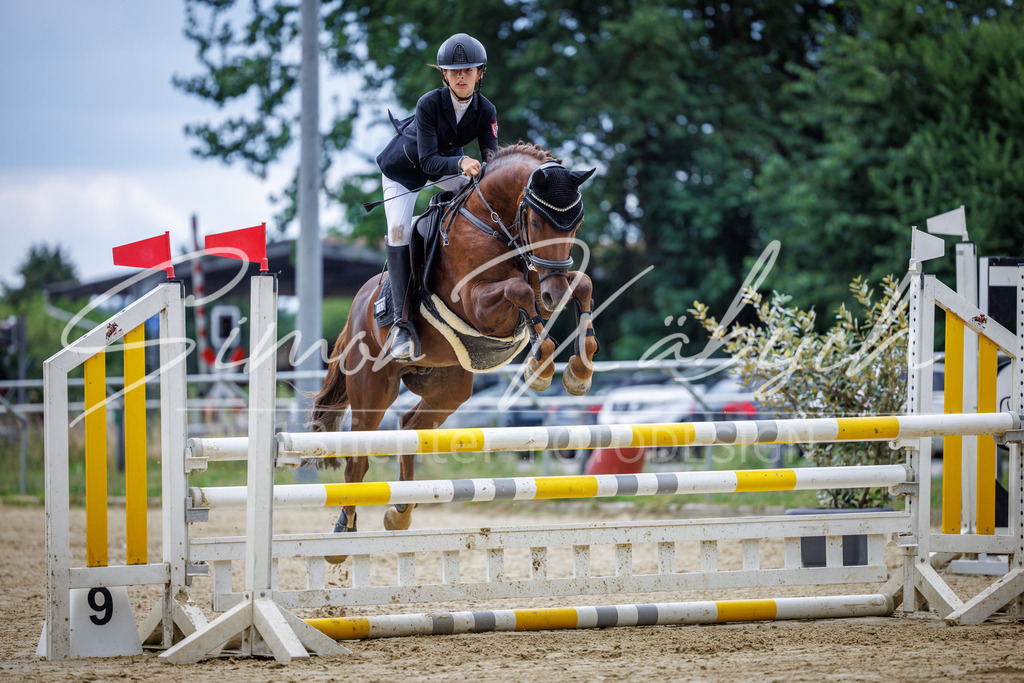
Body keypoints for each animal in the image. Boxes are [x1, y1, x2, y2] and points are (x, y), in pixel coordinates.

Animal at [309, 142, 598, 552]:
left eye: (575, 223)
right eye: (537, 222)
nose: (554, 294)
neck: (494, 225)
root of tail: (356, 311)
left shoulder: (543, 286)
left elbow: (581, 283)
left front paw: (579, 371)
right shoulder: (479, 305)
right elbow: (520, 290)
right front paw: (541, 368)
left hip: (448, 387)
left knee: (409, 425)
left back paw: (401, 511)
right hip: (372, 388)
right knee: (357, 460)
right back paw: (344, 528)